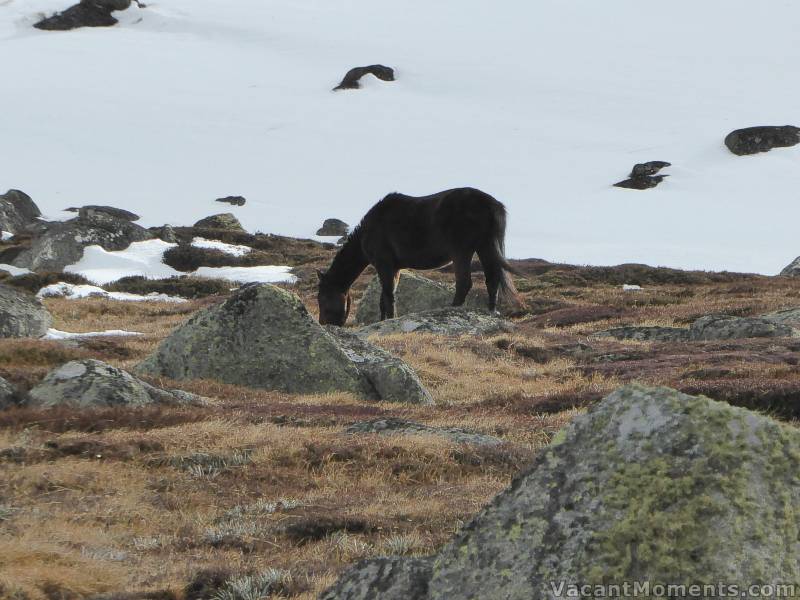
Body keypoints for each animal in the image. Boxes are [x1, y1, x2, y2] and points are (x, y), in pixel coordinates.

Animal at [316, 189, 520, 326]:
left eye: (322, 299)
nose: (324, 324)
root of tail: (492, 205)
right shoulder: (394, 268)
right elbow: (384, 297)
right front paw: (383, 320)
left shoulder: (384, 264)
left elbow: (388, 295)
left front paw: (390, 319)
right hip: (485, 247)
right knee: (492, 279)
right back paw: (491, 311)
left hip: (462, 251)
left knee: (464, 282)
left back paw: (450, 309)